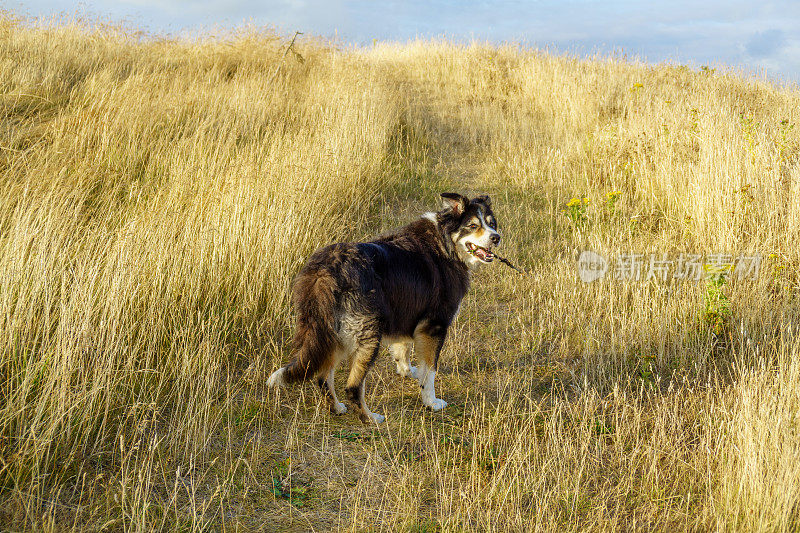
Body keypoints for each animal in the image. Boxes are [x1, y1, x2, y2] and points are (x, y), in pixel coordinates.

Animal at [268, 193, 500, 422]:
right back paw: (370, 418)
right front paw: (431, 402)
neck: (445, 243)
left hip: (329, 334)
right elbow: (429, 371)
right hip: (367, 335)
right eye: (472, 225)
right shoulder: (434, 326)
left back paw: (337, 408)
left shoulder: (406, 312)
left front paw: (407, 371)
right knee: (353, 387)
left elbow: (402, 348)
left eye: (491, 223)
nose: (496, 237)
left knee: (323, 377)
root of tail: (325, 272)